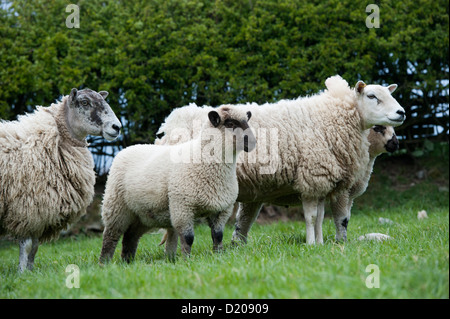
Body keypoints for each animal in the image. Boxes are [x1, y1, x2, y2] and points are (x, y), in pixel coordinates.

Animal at [0, 89, 121, 274]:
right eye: (85, 102)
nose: (117, 127)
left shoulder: (40, 212)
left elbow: (35, 247)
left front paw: (31, 272)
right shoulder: (25, 208)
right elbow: (26, 245)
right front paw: (21, 273)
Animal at [98, 106, 255, 264]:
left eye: (246, 121)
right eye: (230, 123)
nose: (253, 142)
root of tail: (127, 149)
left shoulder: (222, 209)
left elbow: (218, 236)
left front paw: (218, 255)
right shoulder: (183, 207)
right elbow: (188, 238)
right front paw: (187, 261)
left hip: (141, 214)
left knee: (130, 237)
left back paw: (128, 262)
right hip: (116, 206)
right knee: (111, 236)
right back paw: (104, 263)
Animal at [156, 76, 406, 246]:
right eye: (372, 96)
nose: (401, 112)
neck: (334, 117)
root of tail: (170, 123)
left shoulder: (322, 182)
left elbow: (320, 218)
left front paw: (320, 243)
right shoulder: (314, 177)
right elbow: (321, 218)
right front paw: (313, 244)